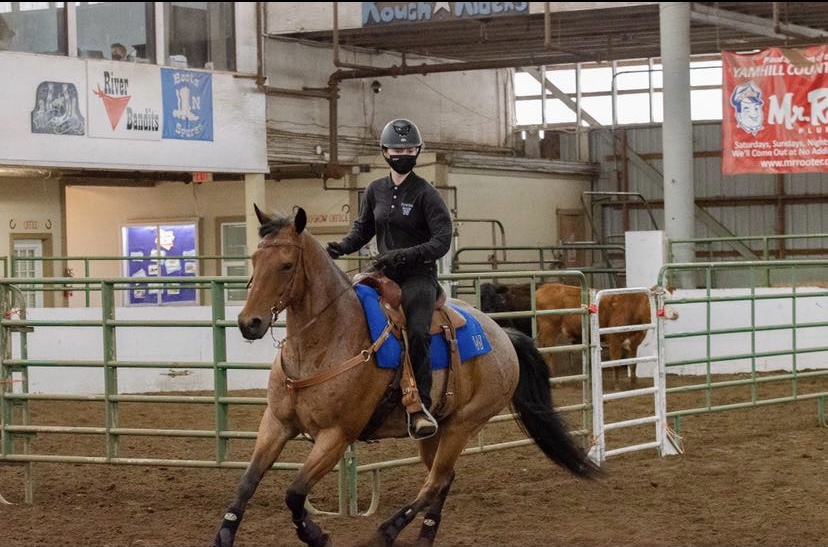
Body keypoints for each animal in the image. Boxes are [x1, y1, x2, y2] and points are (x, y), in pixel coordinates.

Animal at [213, 208, 600, 547]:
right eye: (254, 260)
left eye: (287, 265)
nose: (249, 323)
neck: (326, 341)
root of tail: (502, 336)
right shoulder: (276, 422)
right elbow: (247, 482)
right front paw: (225, 534)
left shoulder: (337, 435)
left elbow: (294, 492)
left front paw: (316, 534)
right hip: (435, 431)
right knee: (443, 479)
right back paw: (425, 535)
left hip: (464, 424)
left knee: (434, 482)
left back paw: (386, 531)